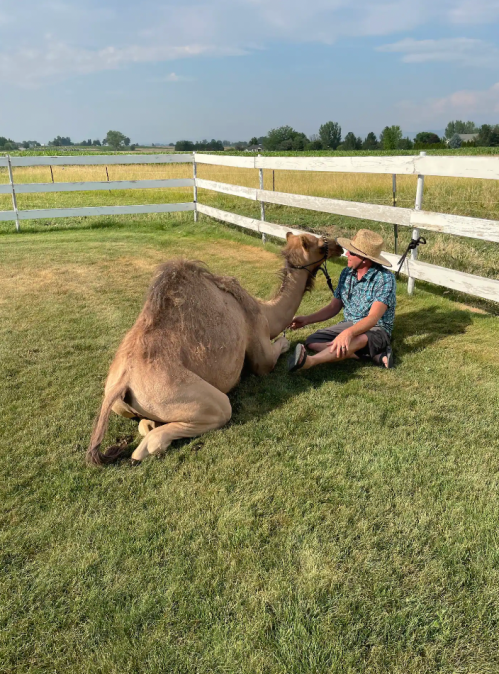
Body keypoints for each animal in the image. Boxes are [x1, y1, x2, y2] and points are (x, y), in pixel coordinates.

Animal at [86, 230, 344, 462]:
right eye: (320, 243)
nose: (338, 245)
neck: (265, 310)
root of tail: (123, 382)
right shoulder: (259, 344)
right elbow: (275, 350)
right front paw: (285, 340)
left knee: (145, 424)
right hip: (187, 395)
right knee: (189, 424)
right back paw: (149, 448)